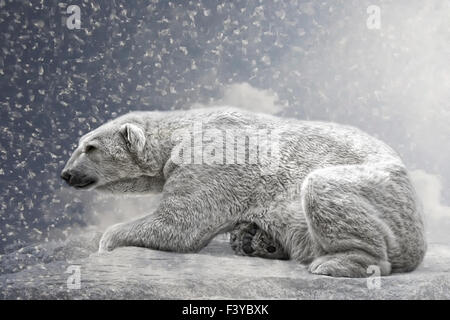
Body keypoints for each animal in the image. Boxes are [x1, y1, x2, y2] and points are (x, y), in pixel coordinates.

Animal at [61, 107, 428, 278]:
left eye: (90, 147)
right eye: (78, 143)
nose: (65, 174)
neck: (182, 131)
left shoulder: (210, 158)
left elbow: (179, 225)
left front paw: (108, 239)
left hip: (383, 192)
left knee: (322, 187)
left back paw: (336, 263)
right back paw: (257, 240)